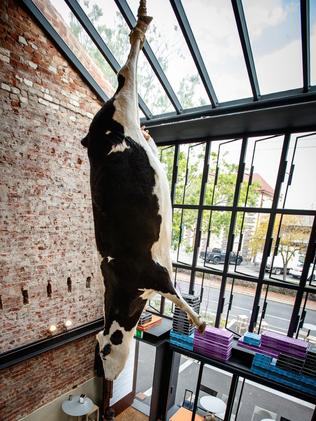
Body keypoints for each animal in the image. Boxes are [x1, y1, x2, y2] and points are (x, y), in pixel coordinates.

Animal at [81, 0, 205, 380]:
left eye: (104, 352)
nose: (105, 377)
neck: (129, 293)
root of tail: (93, 136)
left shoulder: (158, 275)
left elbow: (179, 297)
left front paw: (201, 322)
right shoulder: (156, 276)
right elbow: (178, 296)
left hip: (125, 102)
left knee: (126, 70)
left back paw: (141, 23)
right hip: (126, 109)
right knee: (127, 70)